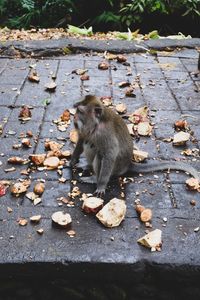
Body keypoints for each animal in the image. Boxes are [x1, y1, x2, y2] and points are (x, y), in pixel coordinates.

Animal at [70, 95, 198, 196]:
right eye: (77, 109)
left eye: (80, 111)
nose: (74, 117)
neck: (96, 124)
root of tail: (128, 165)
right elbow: (82, 139)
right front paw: (73, 160)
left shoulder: (105, 133)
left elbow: (110, 154)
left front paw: (101, 185)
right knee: (88, 143)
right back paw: (88, 165)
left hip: (116, 168)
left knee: (100, 155)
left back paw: (93, 178)